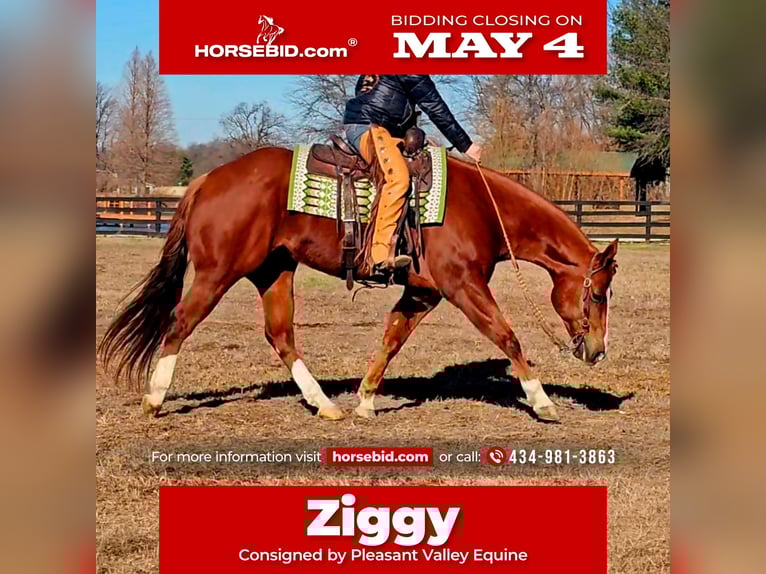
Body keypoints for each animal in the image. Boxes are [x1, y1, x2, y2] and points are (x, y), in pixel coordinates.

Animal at [97, 146, 618, 423]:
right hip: (216, 273)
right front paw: (542, 401)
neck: (482, 208)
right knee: (180, 322)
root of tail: (207, 180)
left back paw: (325, 405)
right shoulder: (463, 287)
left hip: (273, 271)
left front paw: (366, 401)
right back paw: (154, 398)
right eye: (596, 293)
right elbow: (507, 336)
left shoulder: (423, 293)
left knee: (280, 335)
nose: (597, 351)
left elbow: (390, 341)